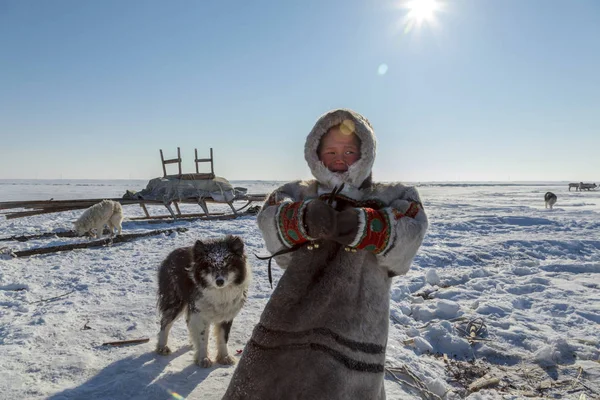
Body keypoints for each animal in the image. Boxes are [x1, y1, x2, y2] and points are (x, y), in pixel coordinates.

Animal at [157, 234, 251, 368]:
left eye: (227, 265)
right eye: (210, 266)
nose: (219, 281)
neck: (219, 292)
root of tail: (171, 255)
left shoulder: (226, 316)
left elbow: (223, 338)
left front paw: (224, 357)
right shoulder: (200, 315)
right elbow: (203, 339)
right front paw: (203, 358)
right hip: (176, 301)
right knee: (165, 322)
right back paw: (162, 347)